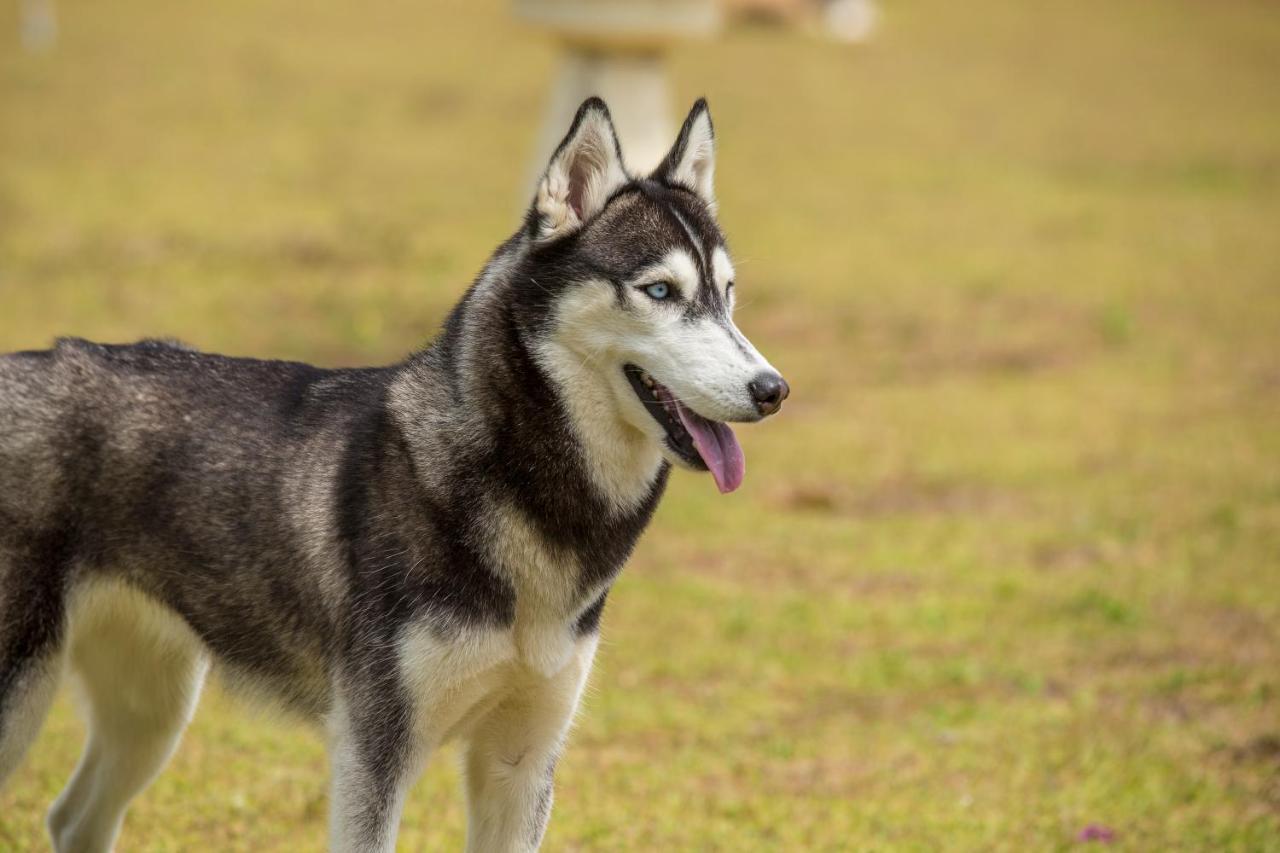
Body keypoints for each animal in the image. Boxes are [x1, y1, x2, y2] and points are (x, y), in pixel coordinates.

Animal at [0, 96, 783, 845]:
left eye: (727, 293)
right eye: (660, 291)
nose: (773, 389)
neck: (518, 486)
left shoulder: (521, 762)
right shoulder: (372, 753)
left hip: (153, 709)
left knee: (72, 819)